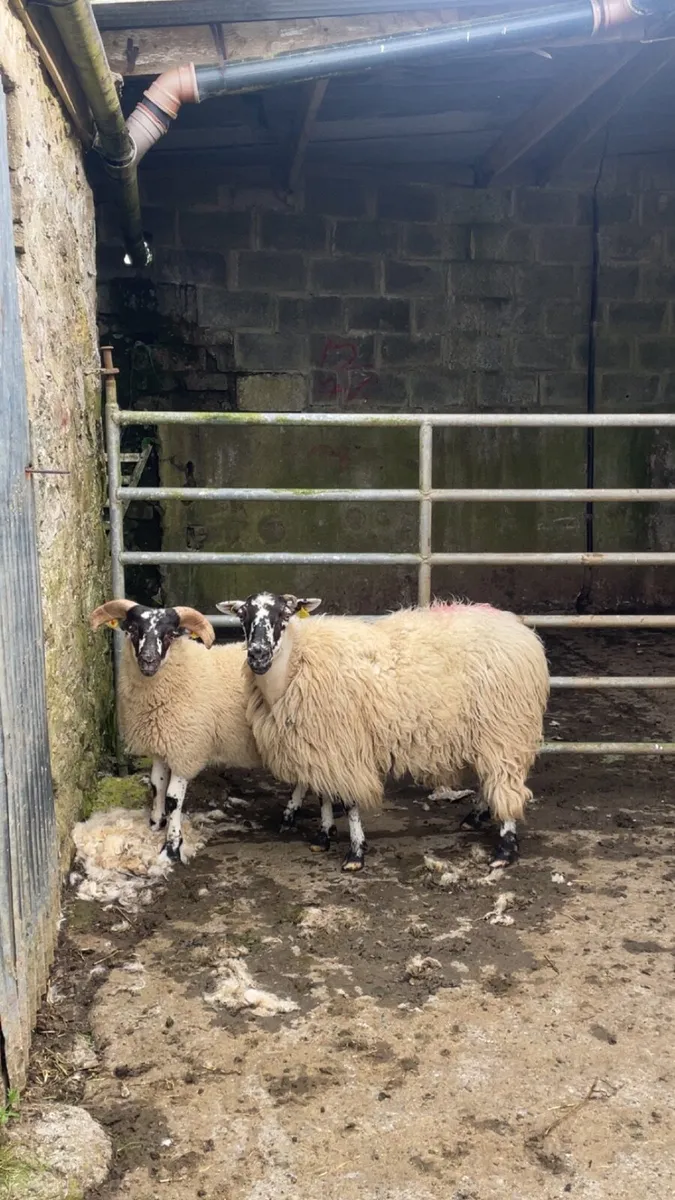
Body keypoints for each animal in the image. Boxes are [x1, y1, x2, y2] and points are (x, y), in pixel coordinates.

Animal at [89, 599, 308, 862]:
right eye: (132, 629)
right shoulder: (161, 743)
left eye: (170, 634)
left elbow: (173, 798)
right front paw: (155, 824)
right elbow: (156, 786)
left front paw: (172, 846)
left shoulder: (186, 748)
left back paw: (293, 814)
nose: (148, 660)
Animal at [216, 592, 549, 873]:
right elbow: (323, 793)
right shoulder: (321, 744)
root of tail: (519, 630)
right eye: (243, 615)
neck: (296, 665)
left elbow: (349, 802)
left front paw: (355, 853)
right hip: (486, 731)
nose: (257, 655)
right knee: (490, 776)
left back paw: (505, 849)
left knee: (504, 780)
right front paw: (323, 835)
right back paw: (476, 816)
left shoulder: (343, 745)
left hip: (505, 725)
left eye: (284, 615)